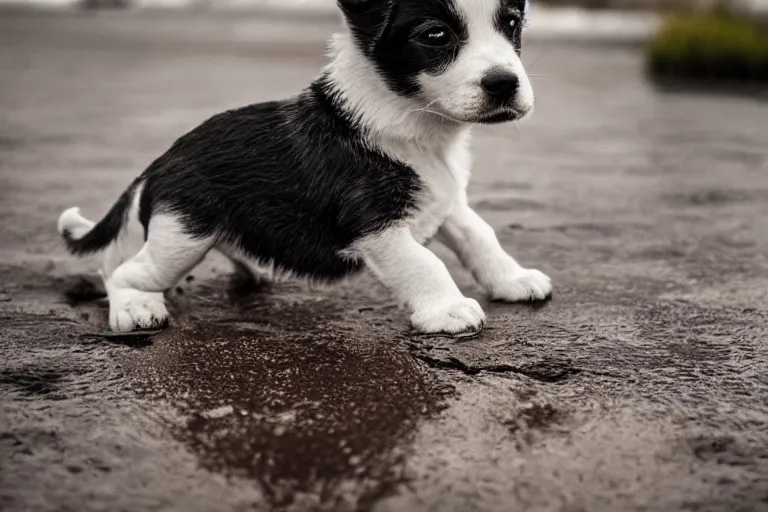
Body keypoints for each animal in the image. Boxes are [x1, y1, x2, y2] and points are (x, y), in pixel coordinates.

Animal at [60, 0, 552, 334]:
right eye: (436, 35)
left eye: (511, 23)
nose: (505, 84)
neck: (415, 125)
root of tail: (159, 162)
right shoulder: (377, 226)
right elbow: (424, 262)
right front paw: (448, 310)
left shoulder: (444, 201)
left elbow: (480, 237)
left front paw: (514, 279)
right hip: (182, 238)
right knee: (119, 270)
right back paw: (134, 308)